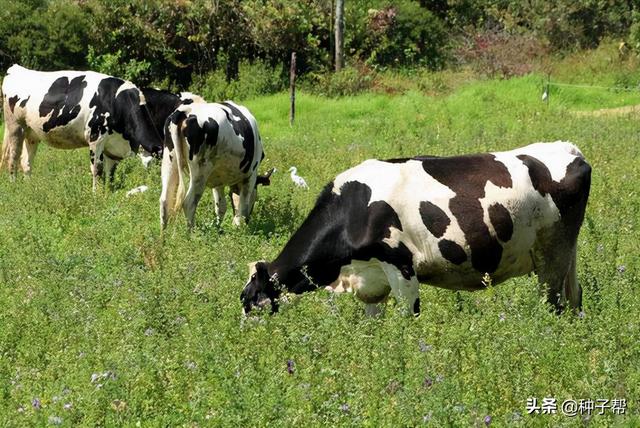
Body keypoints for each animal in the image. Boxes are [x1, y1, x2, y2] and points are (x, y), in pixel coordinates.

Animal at [1, 64, 165, 188]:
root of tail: (16, 69)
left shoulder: (113, 147)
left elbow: (110, 172)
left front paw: (108, 192)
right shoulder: (96, 136)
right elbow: (97, 169)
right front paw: (96, 195)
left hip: (32, 133)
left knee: (26, 162)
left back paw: (29, 188)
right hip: (15, 126)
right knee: (13, 158)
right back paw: (14, 186)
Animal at [162, 100, 270, 229]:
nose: (249, 220)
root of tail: (185, 110)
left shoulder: (218, 179)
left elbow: (221, 206)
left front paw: (218, 228)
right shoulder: (250, 176)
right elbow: (243, 207)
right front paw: (240, 228)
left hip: (170, 162)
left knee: (165, 201)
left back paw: (164, 235)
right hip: (200, 172)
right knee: (189, 203)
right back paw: (191, 233)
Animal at [240, 142, 592, 316]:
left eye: (251, 301)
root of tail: (569, 149)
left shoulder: (402, 268)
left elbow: (407, 319)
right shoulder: (371, 282)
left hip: (553, 253)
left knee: (554, 304)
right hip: (565, 254)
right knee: (575, 298)